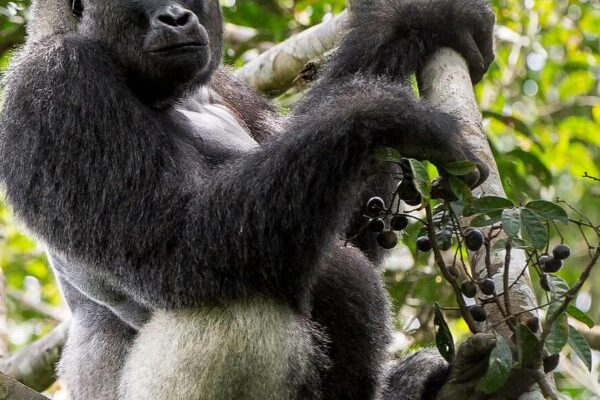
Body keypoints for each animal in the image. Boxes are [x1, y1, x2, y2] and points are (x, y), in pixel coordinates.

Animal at [0, 0, 492, 398]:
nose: (176, 16)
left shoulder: (224, 83)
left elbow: (354, 224)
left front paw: (413, 19)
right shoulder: (58, 78)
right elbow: (183, 245)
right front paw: (381, 112)